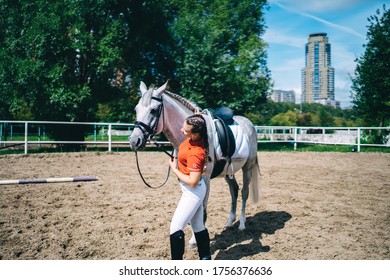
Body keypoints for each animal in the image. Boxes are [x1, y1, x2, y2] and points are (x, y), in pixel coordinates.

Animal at [129, 82, 260, 244]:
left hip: (247, 167)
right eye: (136, 109)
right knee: (234, 190)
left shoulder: (205, 179)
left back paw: (241, 224)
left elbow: (201, 208)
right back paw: (230, 222)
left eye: (153, 110)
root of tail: (249, 124)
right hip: (228, 171)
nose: (134, 140)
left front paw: (195, 239)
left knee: (244, 192)